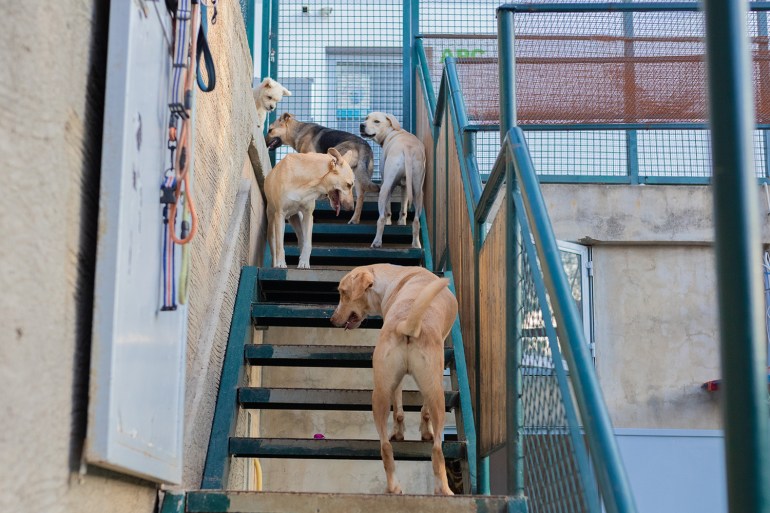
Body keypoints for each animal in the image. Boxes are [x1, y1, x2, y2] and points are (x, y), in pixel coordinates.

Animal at [328, 262, 456, 494]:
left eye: (343, 293)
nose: (331, 320)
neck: (395, 278)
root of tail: (407, 324)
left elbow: (405, 411)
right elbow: (411, 411)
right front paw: (421, 432)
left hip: (381, 394)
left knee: (387, 446)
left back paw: (400, 488)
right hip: (433, 393)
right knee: (435, 449)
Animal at [356, 112, 424, 248]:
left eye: (376, 121)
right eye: (366, 118)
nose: (361, 125)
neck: (392, 131)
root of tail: (408, 148)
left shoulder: (387, 183)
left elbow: (388, 210)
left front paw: (388, 221)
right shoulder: (405, 186)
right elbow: (403, 208)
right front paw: (401, 222)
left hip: (384, 188)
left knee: (381, 218)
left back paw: (377, 242)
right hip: (418, 192)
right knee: (416, 221)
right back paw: (416, 244)